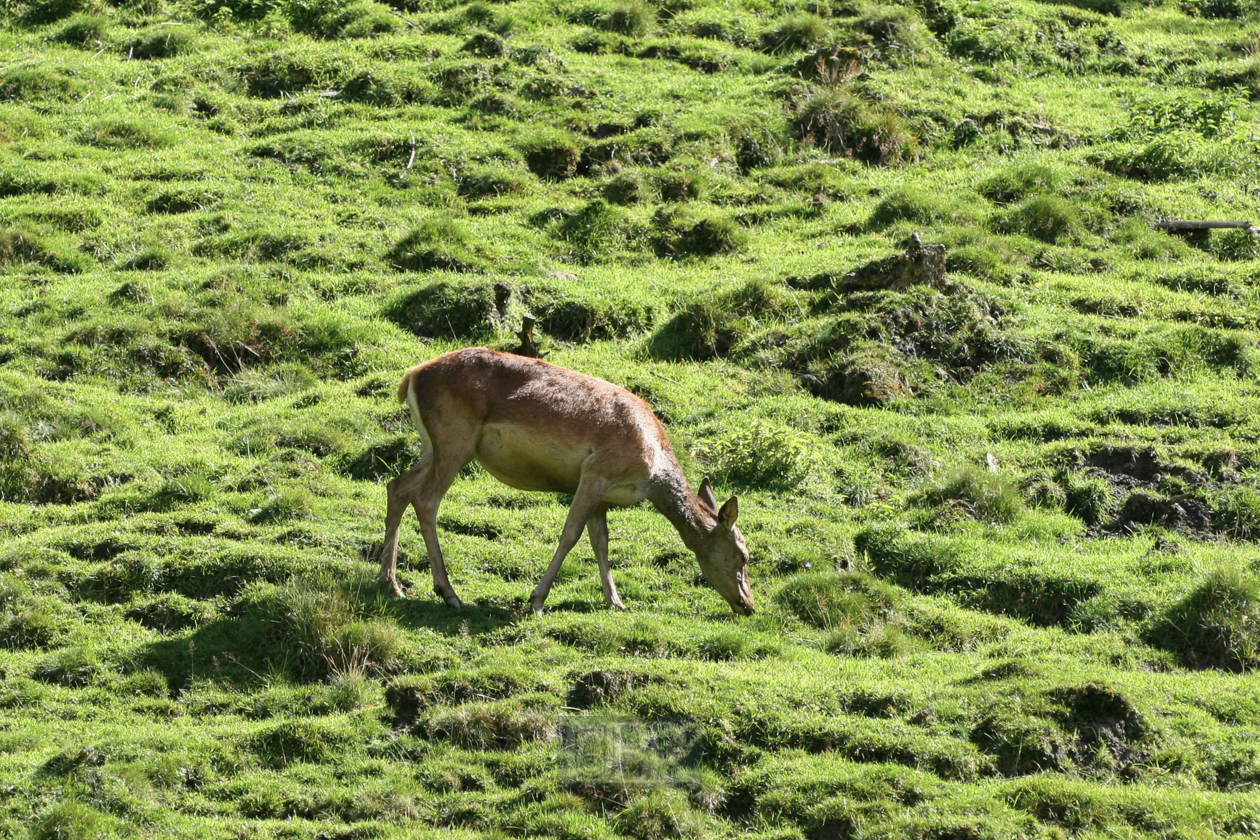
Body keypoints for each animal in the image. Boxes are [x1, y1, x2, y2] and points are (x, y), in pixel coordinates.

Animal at [367, 347, 750, 617]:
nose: (749, 604)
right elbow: (571, 535)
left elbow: (601, 542)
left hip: (435, 446)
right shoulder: (596, 472)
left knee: (397, 486)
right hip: (455, 439)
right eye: (744, 555)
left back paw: (391, 583)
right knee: (426, 499)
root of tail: (411, 376)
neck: (653, 471)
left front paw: (615, 601)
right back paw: (448, 593)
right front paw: (536, 600)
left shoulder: (603, 496)